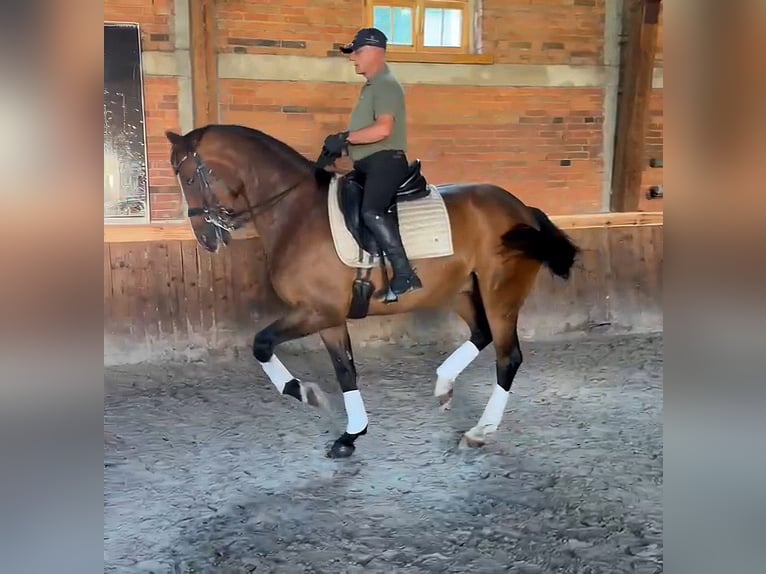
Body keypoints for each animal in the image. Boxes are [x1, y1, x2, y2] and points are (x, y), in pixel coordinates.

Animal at [165, 124, 579, 459]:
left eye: (189, 177)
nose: (206, 239)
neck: (295, 212)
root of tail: (522, 210)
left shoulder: (317, 311)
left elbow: (262, 344)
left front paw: (306, 392)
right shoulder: (329, 317)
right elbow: (345, 370)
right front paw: (351, 435)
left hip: (500, 293)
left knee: (508, 357)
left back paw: (479, 432)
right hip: (461, 290)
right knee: (482, 333)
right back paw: (443, 384)